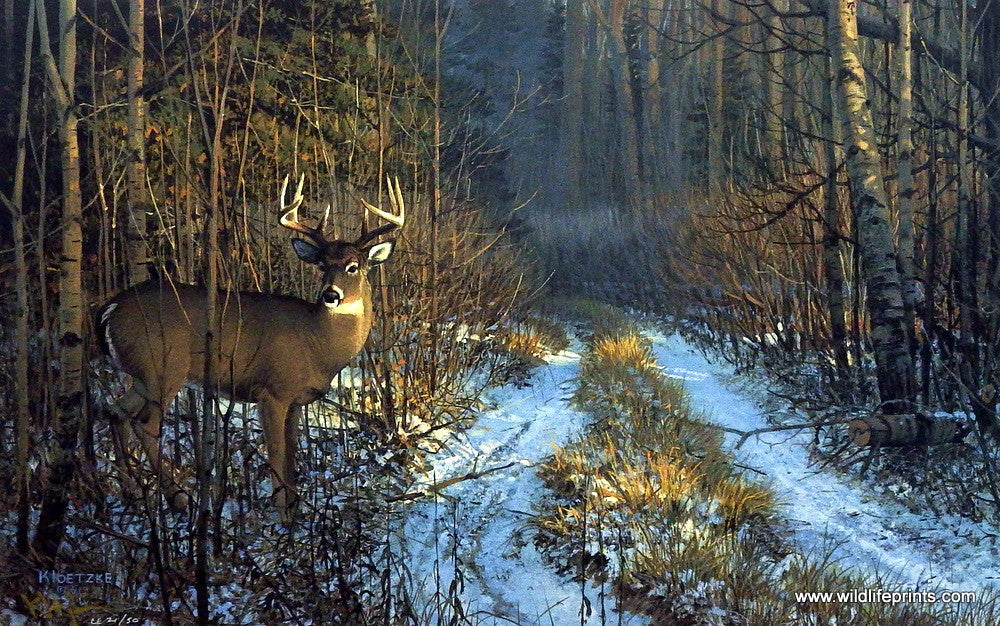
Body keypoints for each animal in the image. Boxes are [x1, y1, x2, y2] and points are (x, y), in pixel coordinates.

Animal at [96, 175, 403, 517]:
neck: (317, 344)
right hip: (163, 368)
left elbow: (292, 454)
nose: (330, 294)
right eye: (322, 265)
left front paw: (295, 509)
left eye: (353, 266)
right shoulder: (272, 391)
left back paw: (133, 495)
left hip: (141, 375)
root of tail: (111, 307)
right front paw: (282, 512)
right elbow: (277, 453)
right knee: (145, 424)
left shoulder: (297, 399)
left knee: (114, 413)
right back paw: (178, 499)